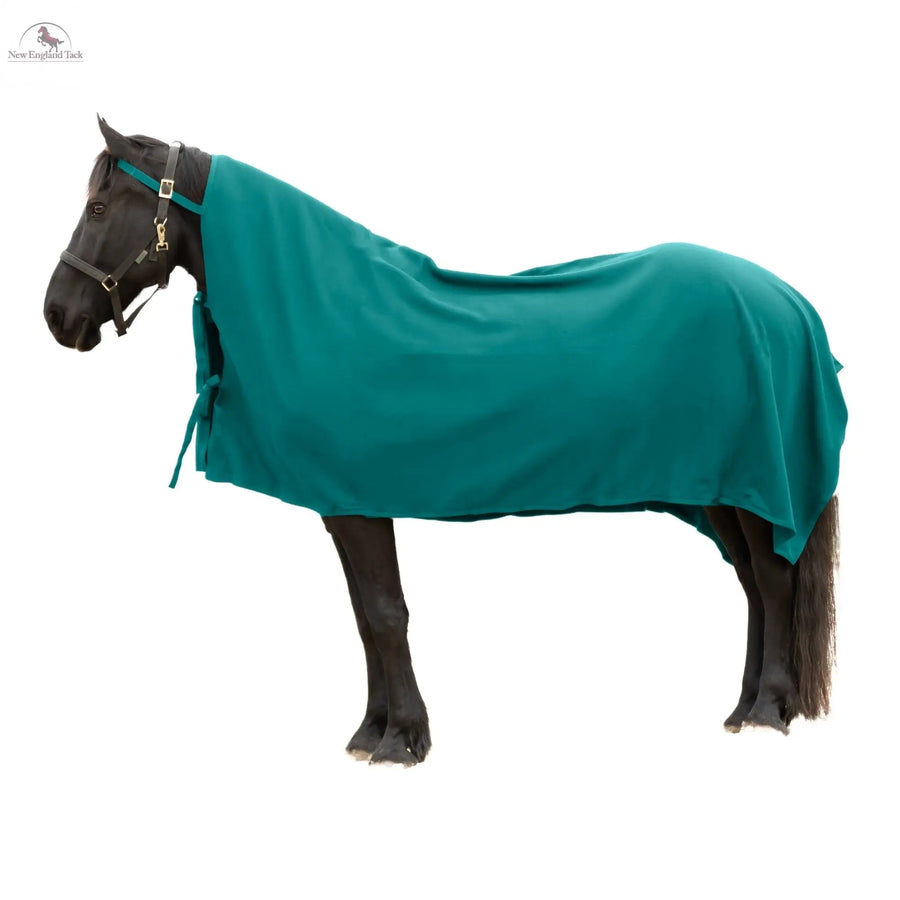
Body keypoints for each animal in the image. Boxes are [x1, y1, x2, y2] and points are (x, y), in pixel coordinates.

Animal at [42, 117, 845, 765]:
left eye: (98, 207)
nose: (57, 315)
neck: (327, 306)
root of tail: (786, 300)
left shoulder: (361, 502)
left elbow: (385, 612)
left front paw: (402, 740)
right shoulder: (343, 504)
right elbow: (365, 617)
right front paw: (371, 732)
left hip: (753, 484)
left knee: (773, 581)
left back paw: (767, 712)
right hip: (720, 491)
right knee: (754, 584)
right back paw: (743, 709)